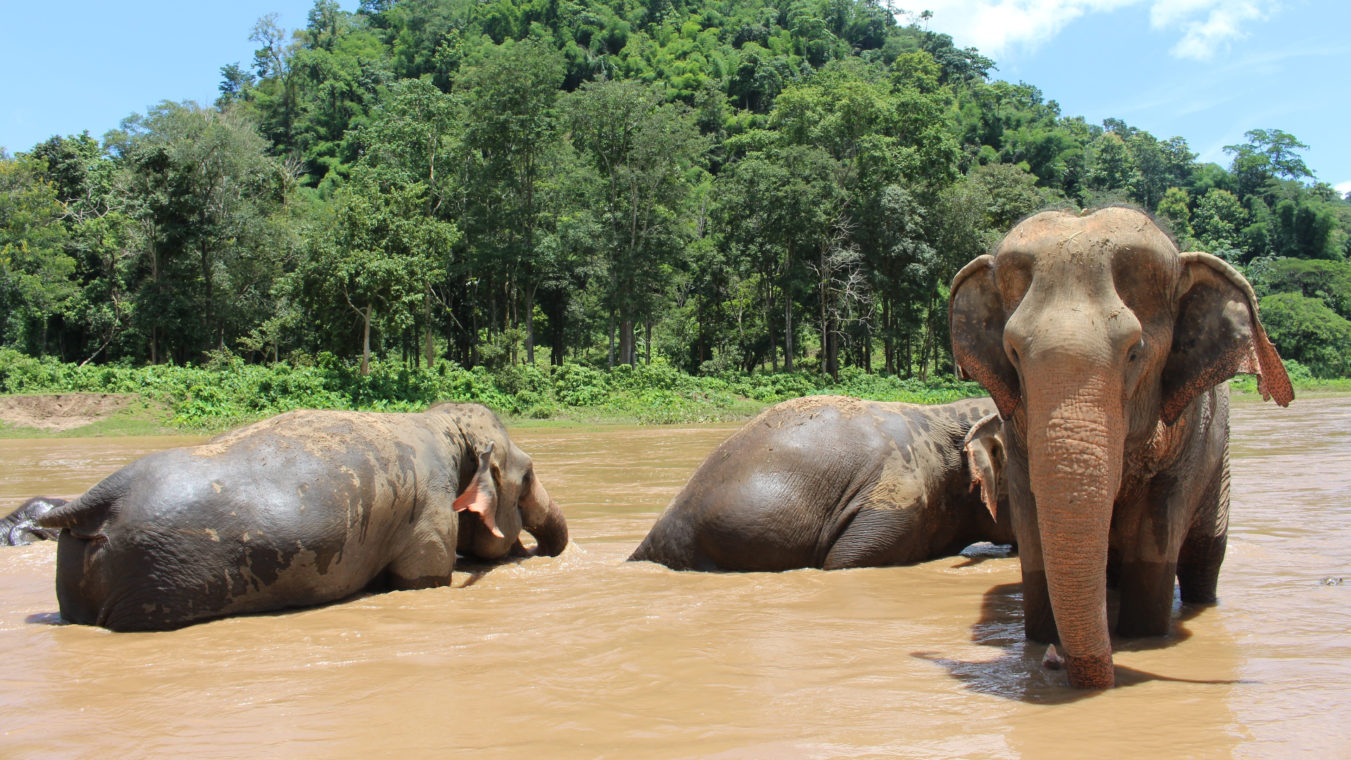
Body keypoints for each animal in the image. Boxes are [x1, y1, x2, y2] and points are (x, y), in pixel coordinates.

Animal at [36, 402, 564, 634]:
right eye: (527, 477)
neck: (443, 424)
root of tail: (100, 498)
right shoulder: (429, 511)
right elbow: (422, 580)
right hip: (154, 580)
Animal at [945, 206, 1291, 691]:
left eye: (1134, 352)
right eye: (1012, 353)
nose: (1053, 662)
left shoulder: (1191, 435)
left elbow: (1158, 531)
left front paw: (1141, 637)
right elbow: (1033, 526)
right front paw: (1040, 640)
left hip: (1219, 465)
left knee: (1205, 558)